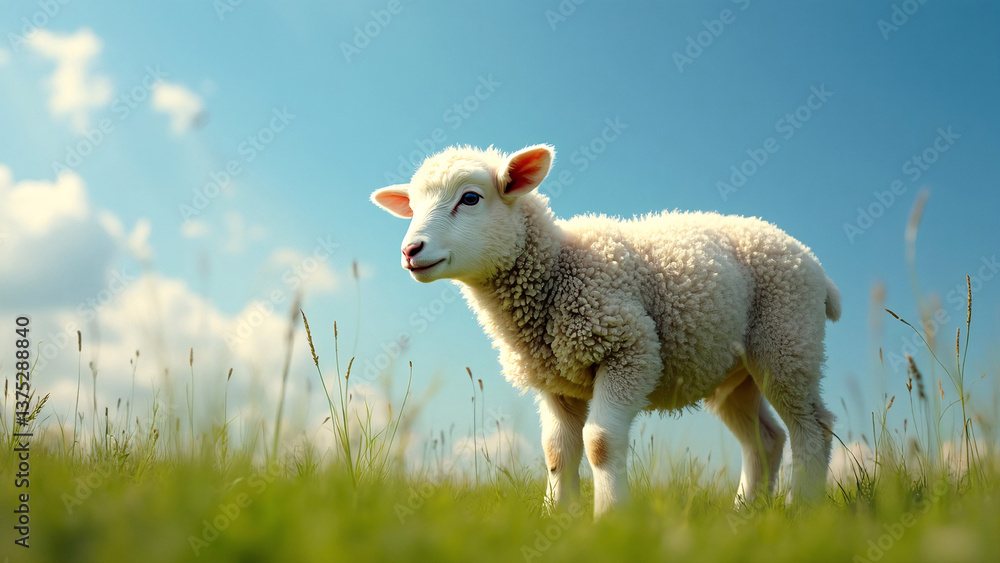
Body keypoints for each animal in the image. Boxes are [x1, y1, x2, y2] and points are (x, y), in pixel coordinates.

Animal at [371, 144, 840, 517]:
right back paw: (744, 514)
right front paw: (557, 515)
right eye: (412, 206)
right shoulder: (555, 381)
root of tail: (815, 265)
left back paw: (803, 509)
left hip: (788, 338)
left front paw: (610, 517)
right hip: (732, 374)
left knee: (812, 427)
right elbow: (557, 453)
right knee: (766, 439)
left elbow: (599, 443)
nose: (410, 250)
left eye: (470, 198)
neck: (557, 269)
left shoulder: (628, 350)